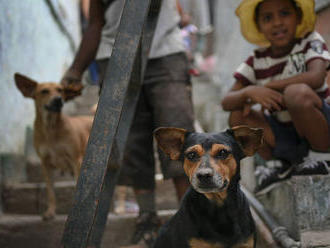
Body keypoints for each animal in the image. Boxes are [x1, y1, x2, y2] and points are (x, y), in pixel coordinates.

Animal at [14, 72, 93, 220]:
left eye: (60, 90)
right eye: (44, 91)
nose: (58, 100)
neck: (50, 128)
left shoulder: (76, 160)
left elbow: (77, 187)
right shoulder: (45, 164)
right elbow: (50, 192)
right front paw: (50, 211)